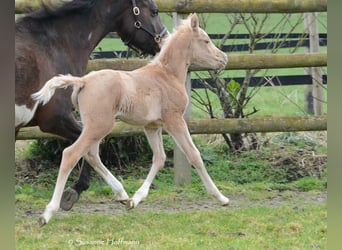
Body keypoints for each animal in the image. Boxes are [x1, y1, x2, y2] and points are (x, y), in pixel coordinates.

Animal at [14, 0, 167, 211]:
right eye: (154, 11)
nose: (165, 41)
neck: (55, 45)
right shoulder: (55, 119)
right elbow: (86, 148)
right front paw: (75, 190)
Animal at [32, 12, 230, 226]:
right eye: (206, 40)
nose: (224, 58)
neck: (167, 75)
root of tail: (83, 81)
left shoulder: (152, 126)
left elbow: (159, 158)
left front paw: (136, 199)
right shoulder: (174, 119)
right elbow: (194, 155)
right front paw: (221, 197)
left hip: (93, 127)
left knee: (91, 154)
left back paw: (123, 195)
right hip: (99, 126)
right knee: (71, 154)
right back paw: (47, 213)